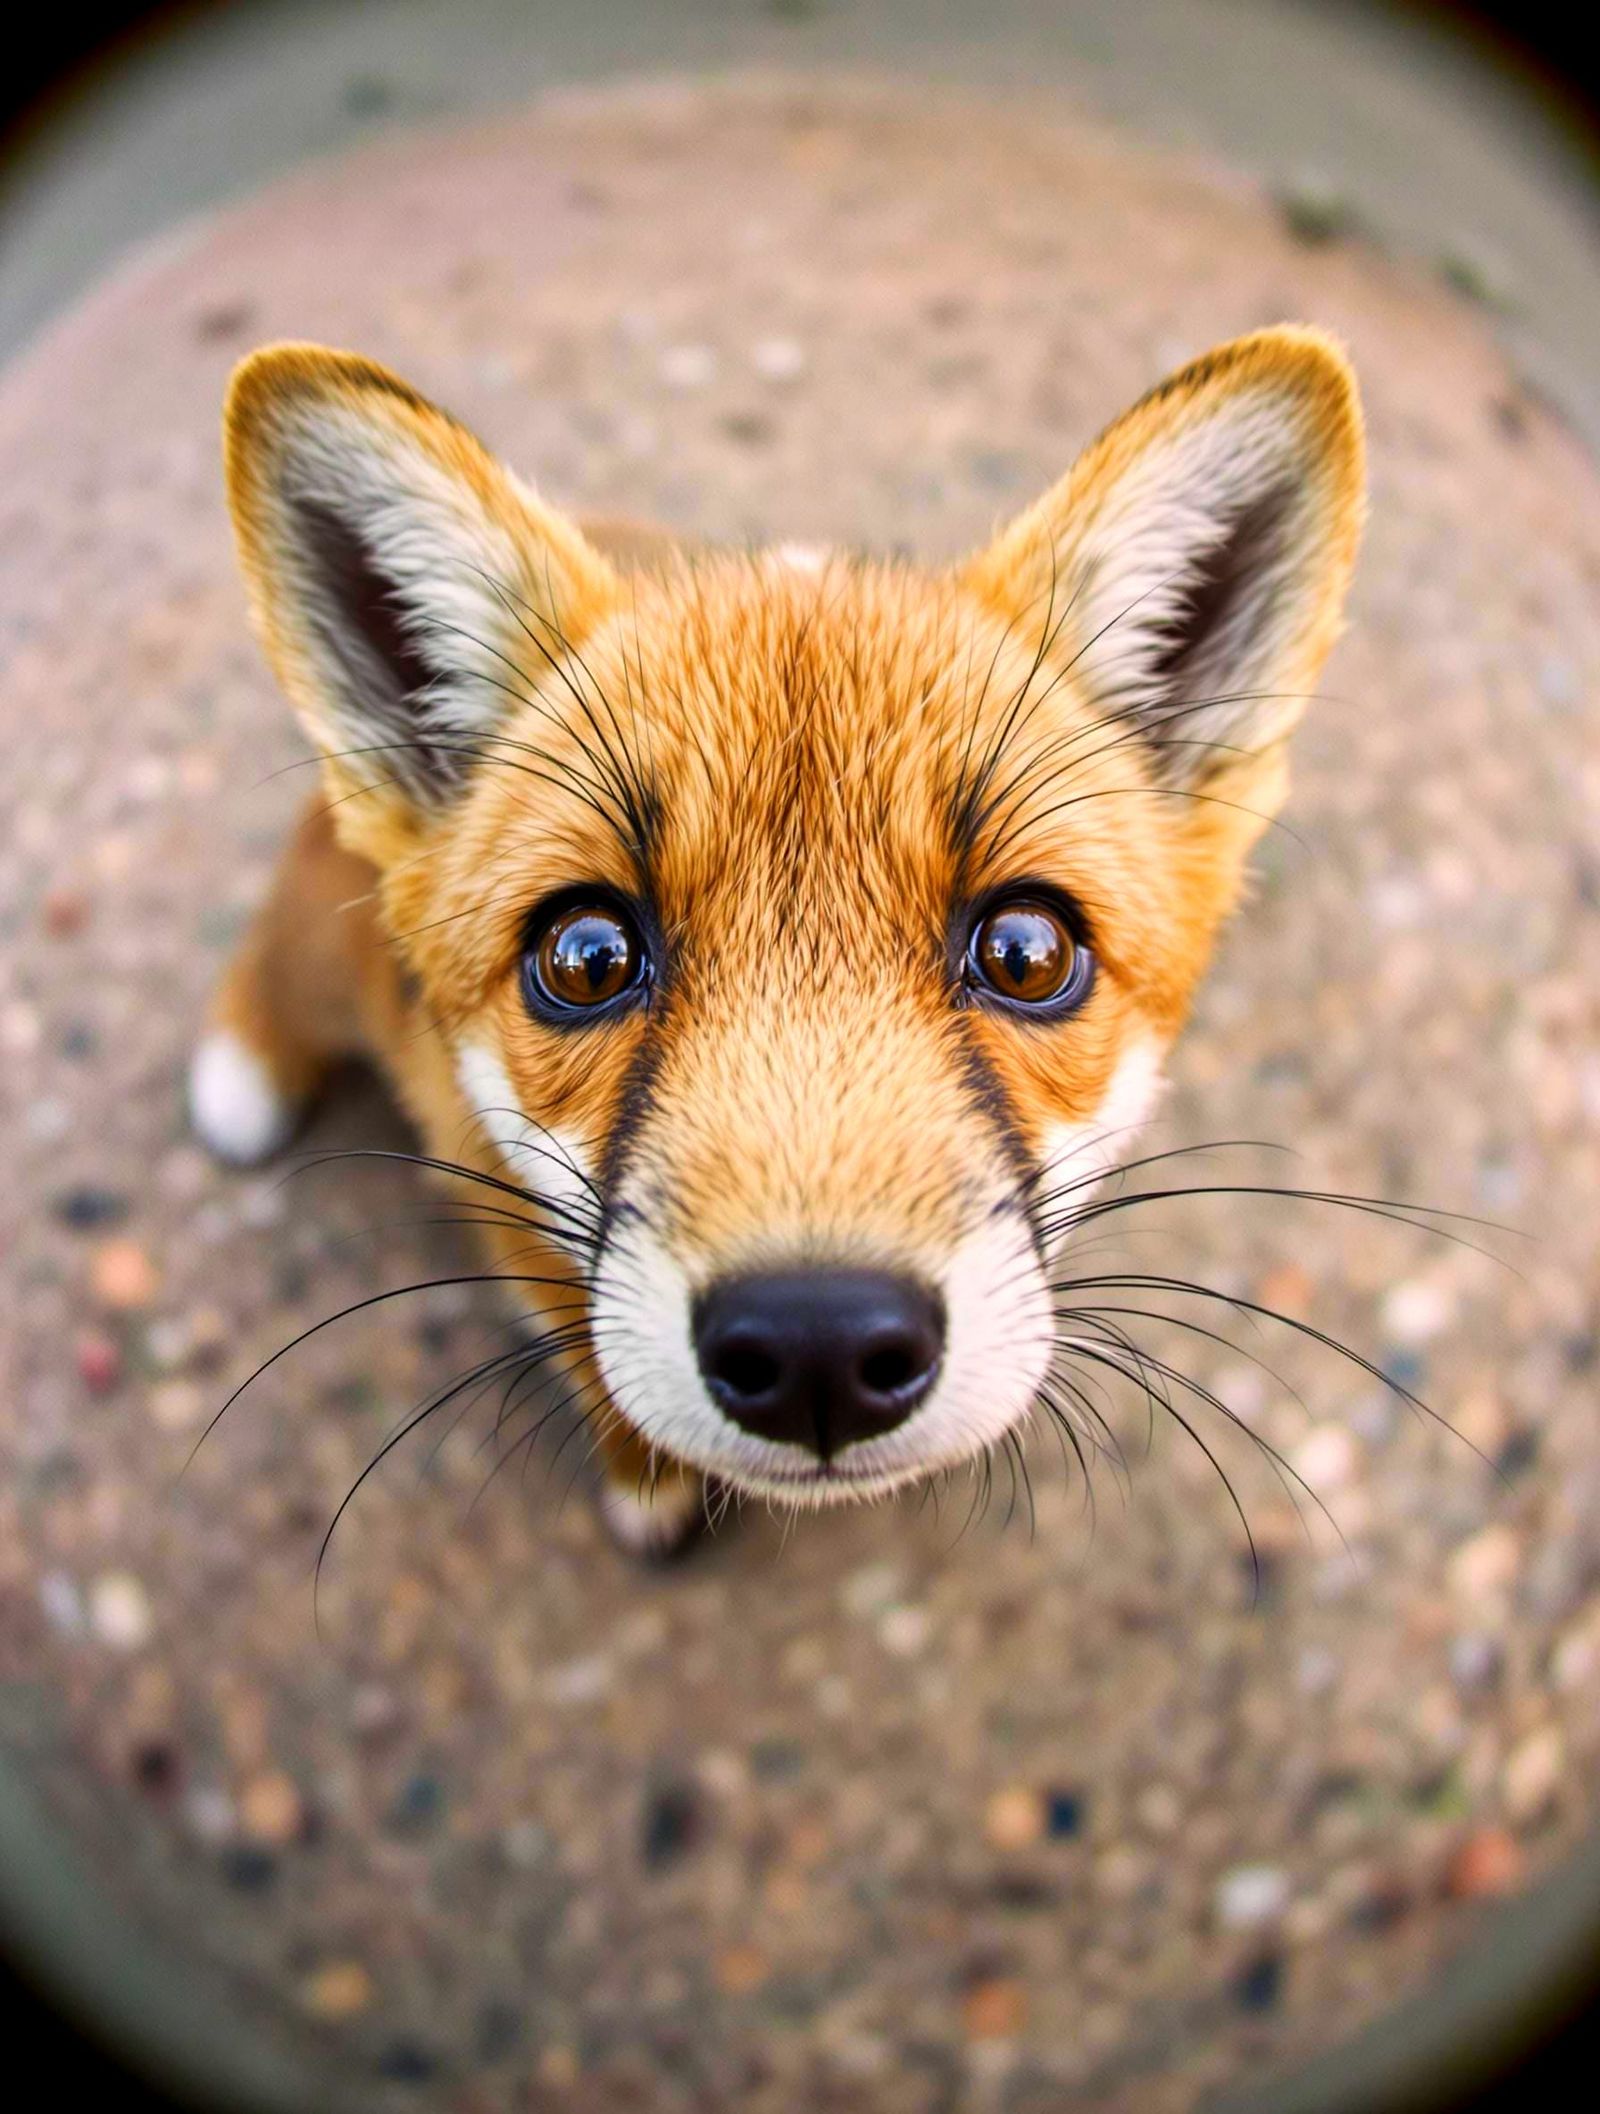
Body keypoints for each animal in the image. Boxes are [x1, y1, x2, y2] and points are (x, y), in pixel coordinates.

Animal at [191, 326, 1364, 1558]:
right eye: (587, 958)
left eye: (1025, 954)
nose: (819, 1346)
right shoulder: (490, 1185)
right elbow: (585, 1347)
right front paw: (646, 1476)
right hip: (317, 964)